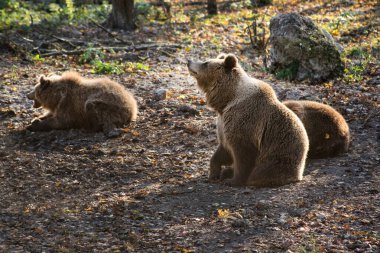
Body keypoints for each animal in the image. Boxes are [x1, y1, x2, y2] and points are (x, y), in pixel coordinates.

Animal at [187, 53, 308, 187]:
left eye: (206, 63)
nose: (189, 61)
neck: (227, 100)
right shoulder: (223, 123)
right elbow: (223, 150)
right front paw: (214, 173)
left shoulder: (245, 121)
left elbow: (243, 154)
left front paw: (234, 181)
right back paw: (226, 172)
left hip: (278, 155)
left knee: (265, 170)